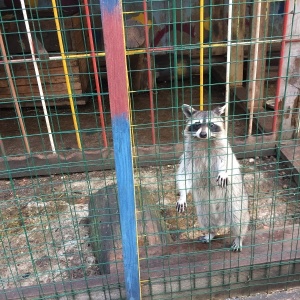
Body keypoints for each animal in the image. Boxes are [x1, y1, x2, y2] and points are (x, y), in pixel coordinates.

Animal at [176, 104, 248, 252]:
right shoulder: (189, 155)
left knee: (238, 218)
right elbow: (184, 174)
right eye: (197, 125)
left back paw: (239, 237)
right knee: (206, 217)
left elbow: (228, 162)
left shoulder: (224, 149)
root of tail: (220, 213)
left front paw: (224, 172)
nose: (203, 134)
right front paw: (182, 195)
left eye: (211, 125)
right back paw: (211, 232)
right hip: (204, 202)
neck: (205, 142)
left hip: (234, 198)